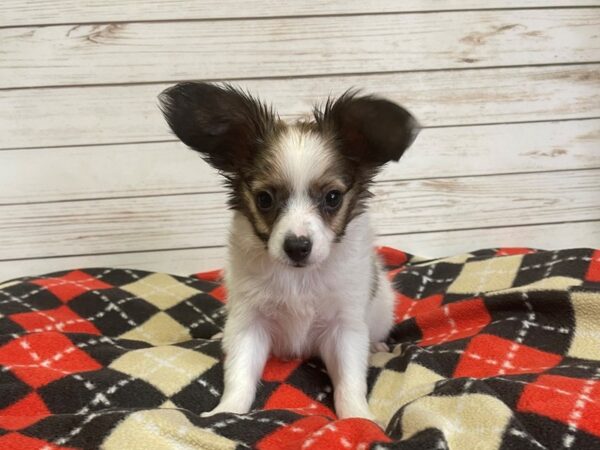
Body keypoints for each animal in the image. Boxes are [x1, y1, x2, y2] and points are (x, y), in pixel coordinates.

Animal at [161, 85, 422, 422]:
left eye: (333, 198)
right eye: (265, 199)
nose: (297, 246)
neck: (299, 278)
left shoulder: (344, 327)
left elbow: (350, 381)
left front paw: (359, 418)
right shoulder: (249, 322)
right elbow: (240, 374)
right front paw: (226, 411)